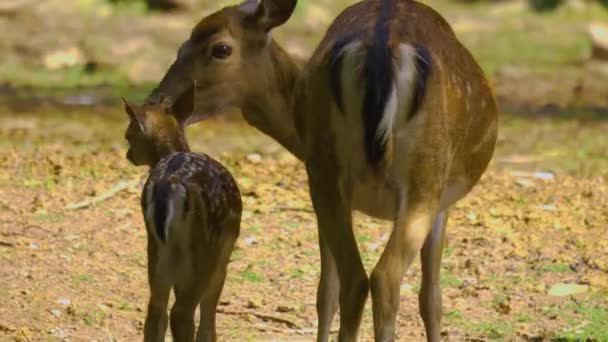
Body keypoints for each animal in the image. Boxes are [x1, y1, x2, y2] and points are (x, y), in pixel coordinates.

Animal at [145, 1, 496, 340]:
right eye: (182, 45)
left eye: (220, 49)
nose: (157, 99)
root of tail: (382, 50)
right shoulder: (440, 201)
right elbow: (430, 300)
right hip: (417, 179)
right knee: (376, 279)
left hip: (335, 174)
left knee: (356, 280)